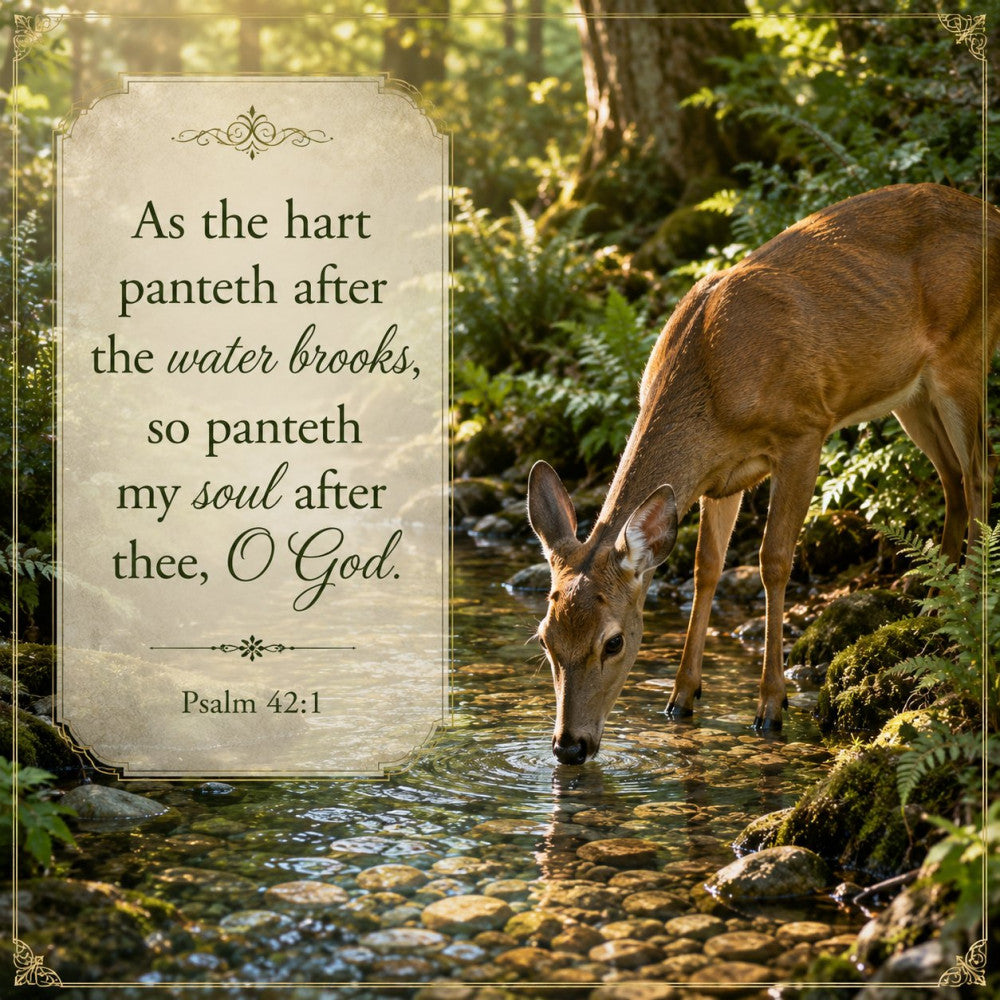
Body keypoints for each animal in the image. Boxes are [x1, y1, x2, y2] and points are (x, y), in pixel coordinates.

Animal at [527, 183, 1000, 765]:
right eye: (545, 638)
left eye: (613, 642)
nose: (568, 746)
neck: (712, 382)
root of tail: (992, 214)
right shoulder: (720, 476)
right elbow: (706, 567)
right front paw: (681, 698)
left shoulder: (804, 429)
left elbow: (773, 560)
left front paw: (771, 706)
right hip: (908, 394)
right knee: (953, 477)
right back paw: (933, 598)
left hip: (964, 357)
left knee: (979, 472)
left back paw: (968, 597)